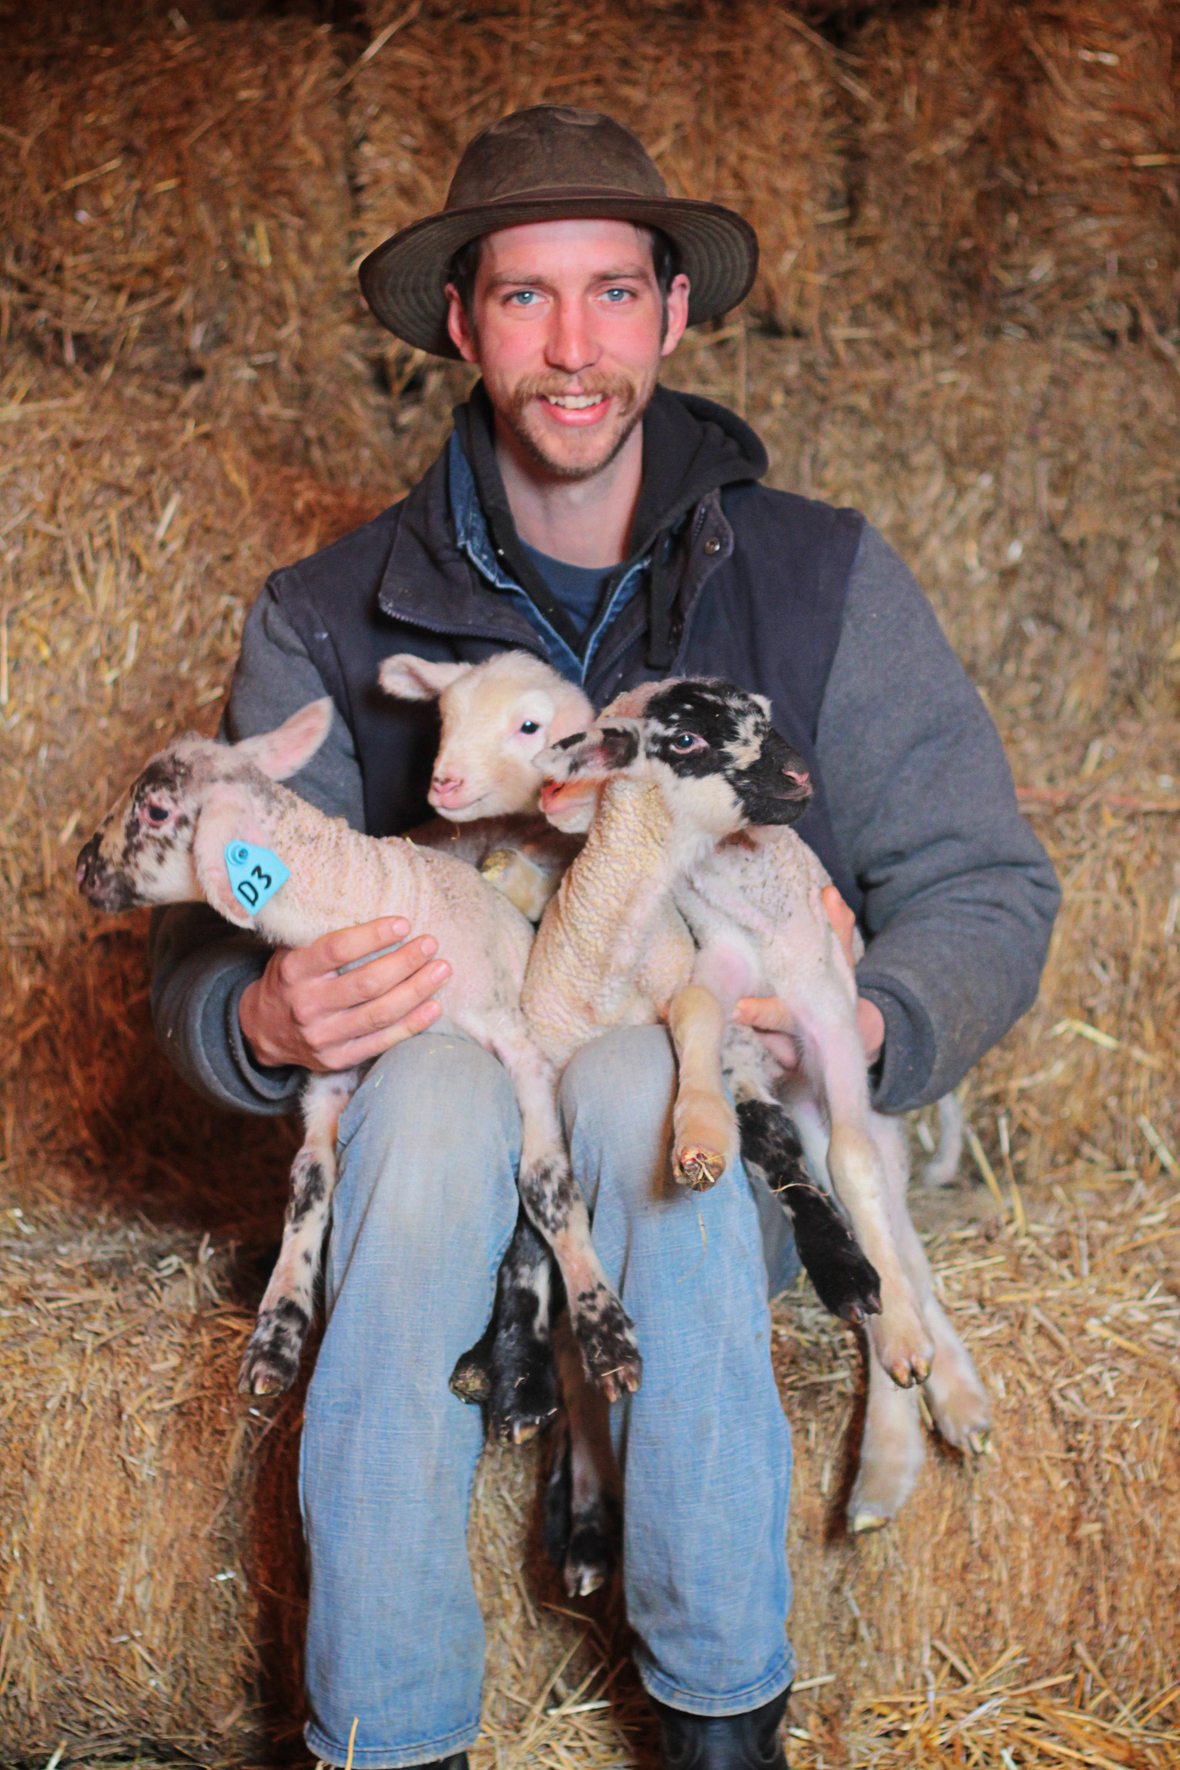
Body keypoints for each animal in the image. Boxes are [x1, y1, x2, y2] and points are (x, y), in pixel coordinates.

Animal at [74, 698, 643, 1405]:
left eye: (153, 811)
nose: (82, 867)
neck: (372, 893)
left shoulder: (523, 1051)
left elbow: (545, 1188)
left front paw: (606, 1334)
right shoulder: (329, 1078)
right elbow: (308, 1184)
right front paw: (276, 1334)